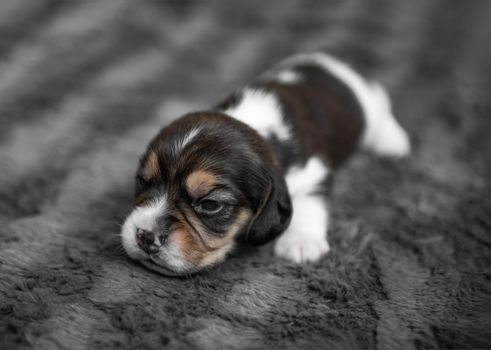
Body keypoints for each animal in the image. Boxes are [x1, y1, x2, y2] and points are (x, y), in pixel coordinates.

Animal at [122, 52, 412, 276]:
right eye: (143, 181)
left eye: (210, 204)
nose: (145, 236)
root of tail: (330, 63)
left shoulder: (314, 171)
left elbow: (308, 203)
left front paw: (301, 242)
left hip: (369, 103)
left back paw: (394, 141)